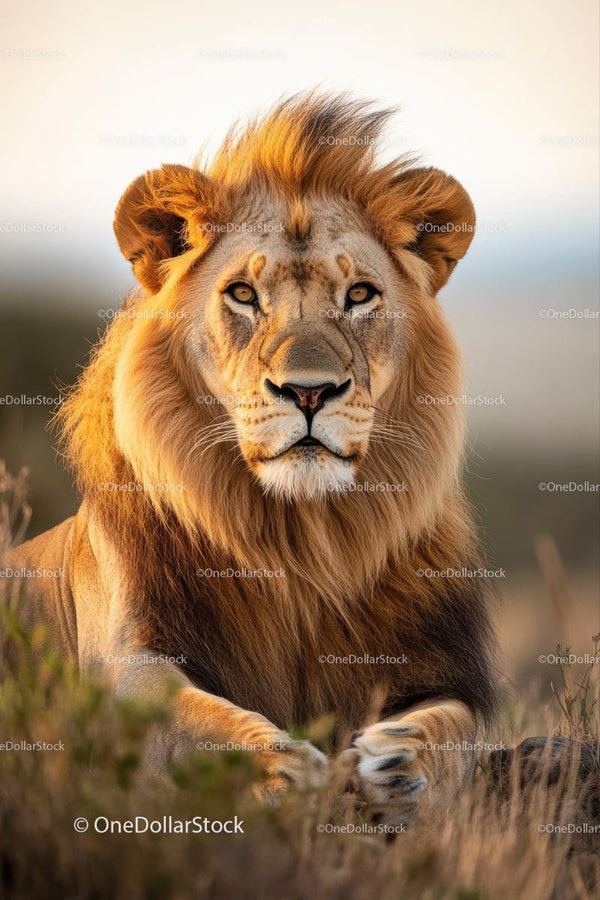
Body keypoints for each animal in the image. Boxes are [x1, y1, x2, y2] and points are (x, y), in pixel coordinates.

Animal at [2, 92, 498, 819]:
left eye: (359, 295)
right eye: (243, 294)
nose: (309, 391)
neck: (299, 542)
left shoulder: (450, 672)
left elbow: (456, 730)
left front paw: (396, 761)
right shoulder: (126, 655)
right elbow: (182, 718)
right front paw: (279, 766)